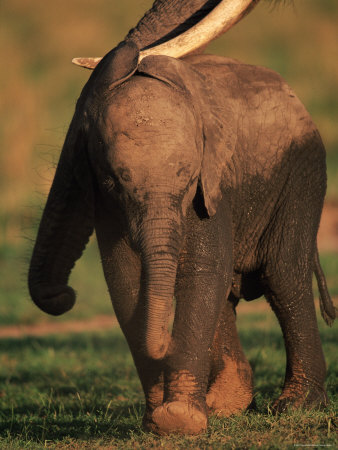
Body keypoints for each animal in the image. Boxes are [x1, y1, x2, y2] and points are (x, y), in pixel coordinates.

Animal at [28, 43, 336, 436]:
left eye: (189, 178)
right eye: (115, 180)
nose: (64, 295)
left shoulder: (212, 181)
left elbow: (202, 270)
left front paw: (179, 419)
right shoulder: (106, 201)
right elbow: (125, 279)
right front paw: (160, 420)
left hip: (301, 171)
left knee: (282, 275)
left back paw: (296, 405)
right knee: (232, 291)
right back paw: (225, 407)